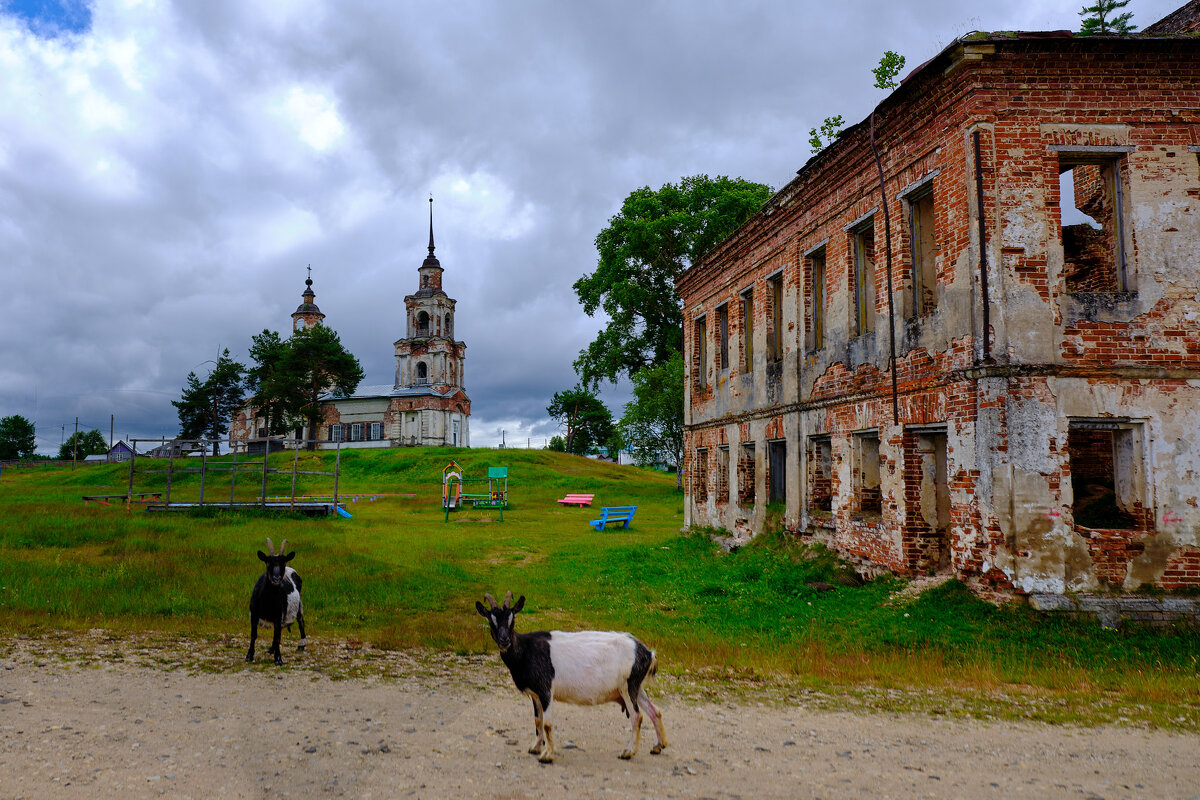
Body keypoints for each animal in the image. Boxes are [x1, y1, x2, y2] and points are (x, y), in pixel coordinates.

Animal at [475, 594, 667, 762]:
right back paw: (659, 746)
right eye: (491, 621)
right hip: (635, 686)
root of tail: (647, 653)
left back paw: (628, 752)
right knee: (654, 710)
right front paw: (536, 747)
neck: (525, 650)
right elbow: (538, 720)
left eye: (512, 619)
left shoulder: (546, 690)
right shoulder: (535, 694)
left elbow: (547, 724)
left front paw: (547, 755)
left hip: (627, 686)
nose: (504, 641)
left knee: (637, 716)